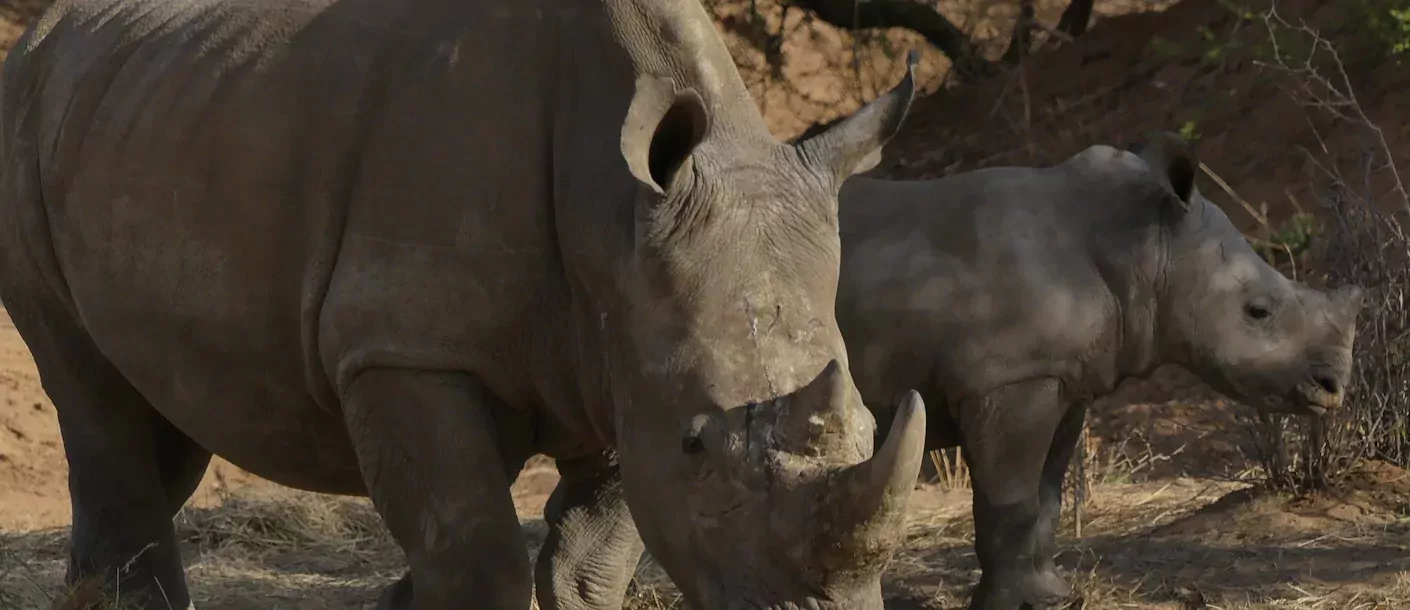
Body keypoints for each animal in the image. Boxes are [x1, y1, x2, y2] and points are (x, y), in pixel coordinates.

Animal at [834, 131, 1364, 605]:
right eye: (1258, 312)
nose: (1332, 387)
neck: (1145, 247)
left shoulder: (1064, 382)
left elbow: (1046, 498)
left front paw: (1053, 596)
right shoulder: (1009, 378)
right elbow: (1010, 501)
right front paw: (1012, 603)